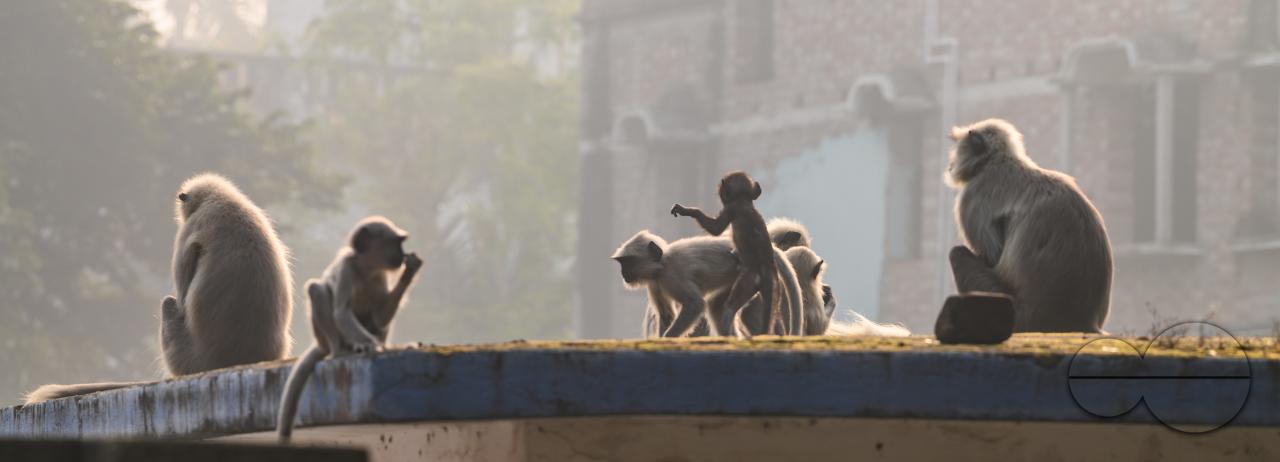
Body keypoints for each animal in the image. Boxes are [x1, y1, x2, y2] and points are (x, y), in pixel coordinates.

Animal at [277, 216, 422, 441]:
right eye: (394, 243)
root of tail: (322, 344)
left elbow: (380, 318)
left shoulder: (380, 274)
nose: (401, 255)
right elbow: (341, 313)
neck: (365, 268)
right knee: (317, 289)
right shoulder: (346, 267)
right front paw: (371, 346)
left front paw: (410, 270)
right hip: (324, 337)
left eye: (401, 243)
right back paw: (341, 351)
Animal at [672, 171, 796, 336]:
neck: (745, 202)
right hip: (773, 286)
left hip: (749, 280)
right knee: (771, 310)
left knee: (730, 307)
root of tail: (767, 267)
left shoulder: (731, 209)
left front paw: (689, 211)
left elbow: (716, 229)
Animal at [944, 118, 1112, 333]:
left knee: (956, 254)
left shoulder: (973, 194)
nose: (951, 164)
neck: (998, 160)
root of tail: (1083, 320)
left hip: (1014, 313)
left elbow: (992, 255)